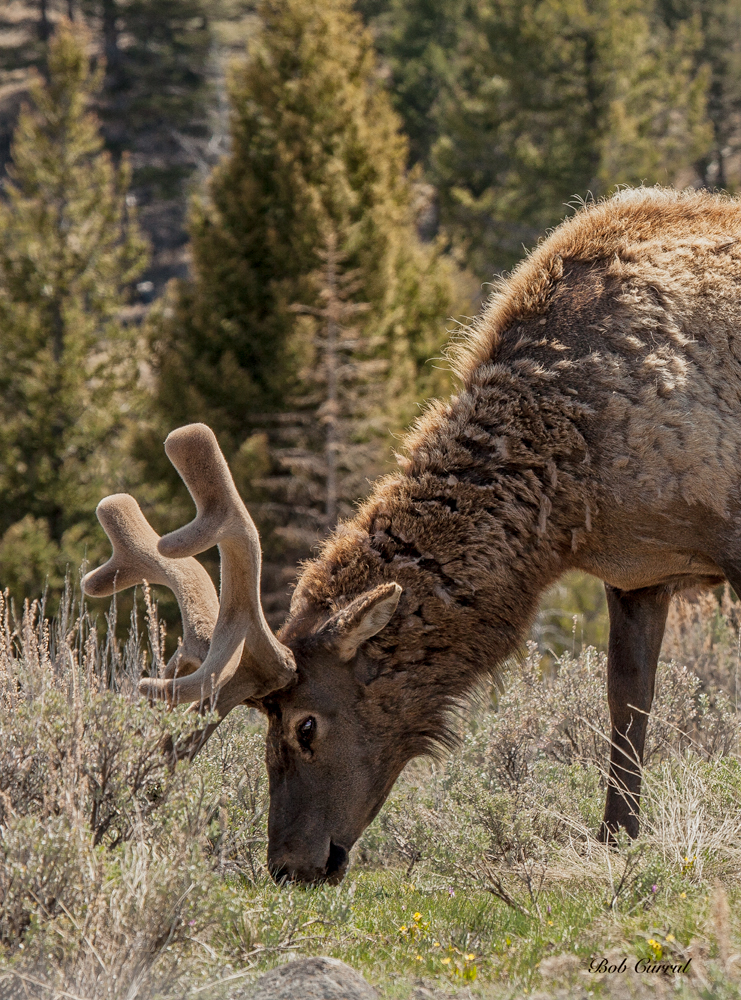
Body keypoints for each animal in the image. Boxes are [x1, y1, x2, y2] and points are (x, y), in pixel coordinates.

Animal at [83, 187, 741, 885]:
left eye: (306, 726)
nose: (288, 865)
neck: (571, 482)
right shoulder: (638, 574)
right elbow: (627, 704)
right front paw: (617, 840)